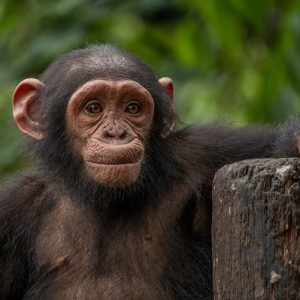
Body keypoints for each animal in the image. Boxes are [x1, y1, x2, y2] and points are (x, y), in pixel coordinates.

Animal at [0, 44, 300, 300]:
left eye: (132, 108)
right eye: (93, 107)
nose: (116, 133)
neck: (104, 200)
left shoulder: (212, 152)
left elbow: (275, 148)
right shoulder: (11, 210)